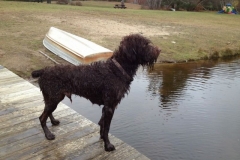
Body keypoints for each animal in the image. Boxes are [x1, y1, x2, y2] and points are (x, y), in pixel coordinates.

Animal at [31, 33, 159, 151]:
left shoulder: (107, 107)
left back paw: (53, 121)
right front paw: (108, 145)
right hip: (54, 98)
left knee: (47, 112)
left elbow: (102, 124)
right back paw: (48, 135)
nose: (159, 50)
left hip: (53, 97)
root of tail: (44, 70)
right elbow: (106, 127)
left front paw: (102, 139)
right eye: (145, 44)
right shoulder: (110, 106)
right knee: (42, 118)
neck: (116, 69)